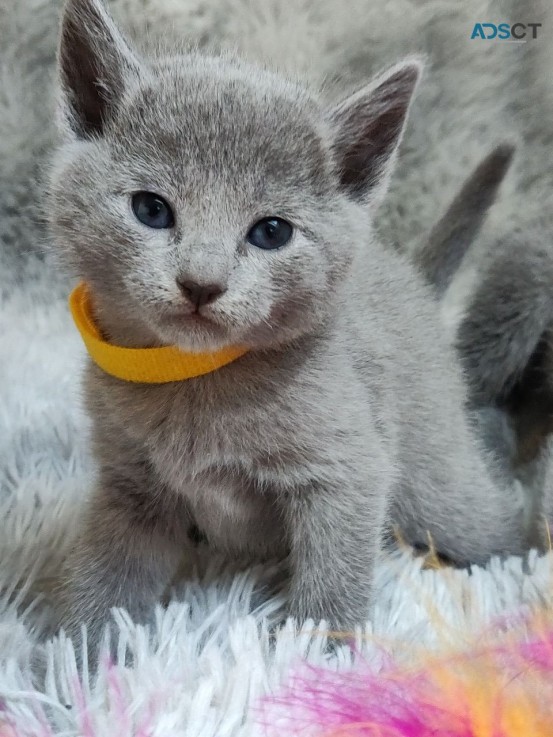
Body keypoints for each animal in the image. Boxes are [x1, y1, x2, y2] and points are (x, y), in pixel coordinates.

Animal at [48, 0, 528, 648]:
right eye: (150, 209)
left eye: (271, 232)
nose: (202, 283)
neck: (196, 379)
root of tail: (415, 281)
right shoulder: (130, 484)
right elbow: (107, 572)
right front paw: (78, 654)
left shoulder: (348, 470)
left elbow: (333, 577)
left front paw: (318, 652)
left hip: (442, 488)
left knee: (491, 520)